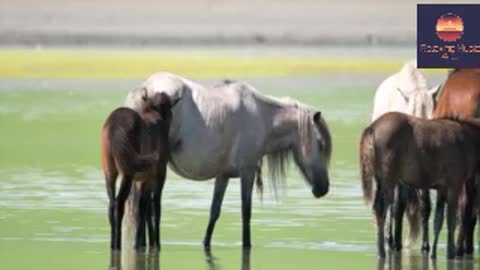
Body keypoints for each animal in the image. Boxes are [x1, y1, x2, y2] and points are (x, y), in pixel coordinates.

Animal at [125, 72, 332, 249]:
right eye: (321, 144)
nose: (324, 189)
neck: (262, 117)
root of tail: (144, 90)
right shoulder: (247, 172)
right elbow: (246, 212)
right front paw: (247, 245)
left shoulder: (223, 175)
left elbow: (214, 212)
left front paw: (205, 243)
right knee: (145, 204)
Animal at [360, 112, 480, 260]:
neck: (469, 141)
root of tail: (372, 128)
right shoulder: (455, 184)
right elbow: (451, 220)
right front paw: (450, 253)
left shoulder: (442, 187)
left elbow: (438, 220)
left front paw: (433, 254)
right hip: (388, 180)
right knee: (381, 210)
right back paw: (382, 252)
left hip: (379, 181)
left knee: (377, 208)